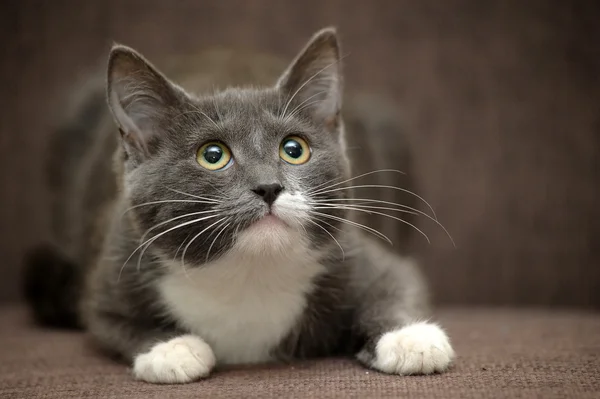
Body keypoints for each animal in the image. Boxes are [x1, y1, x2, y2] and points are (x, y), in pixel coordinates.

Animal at [23, 27, 454, 384]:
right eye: (212, 155)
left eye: (294, 149)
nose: (268, 187)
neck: (249, 273)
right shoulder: (110, 273)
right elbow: (107, 324)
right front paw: (170, 349)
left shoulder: (354, 251)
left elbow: (396, 282)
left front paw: (410, 338)